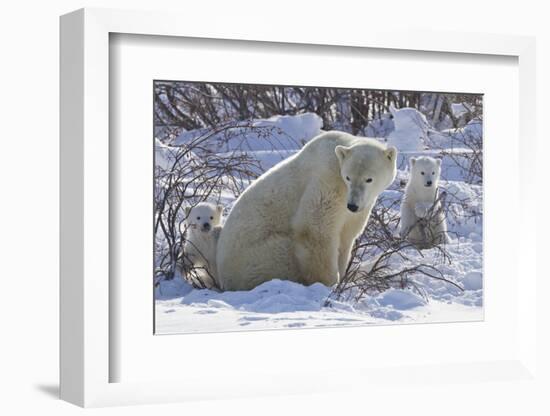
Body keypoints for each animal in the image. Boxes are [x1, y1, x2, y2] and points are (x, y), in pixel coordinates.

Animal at [215, 132, 396, 290]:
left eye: (369, 179)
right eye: (348, 177)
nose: (352, 205)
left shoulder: (360, 205)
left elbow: (346, 235)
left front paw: (343, 275)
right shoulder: (327, 180)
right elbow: (315, 229)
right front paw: (330, 282)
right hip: (259, 256)